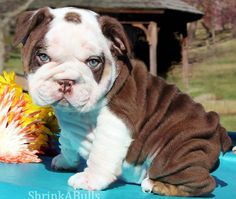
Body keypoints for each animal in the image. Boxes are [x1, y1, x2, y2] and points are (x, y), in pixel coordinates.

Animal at [14, 7, 232, 197]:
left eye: (94, 62)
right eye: (42, 56)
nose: (66, 81)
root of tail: (218, 130)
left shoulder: (115, 122)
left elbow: (100, 155)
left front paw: (89, 179)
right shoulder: (68, 125)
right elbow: (67, 141)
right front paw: (65, 161)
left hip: (179, 152)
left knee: (202, 183)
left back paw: (155, 184)